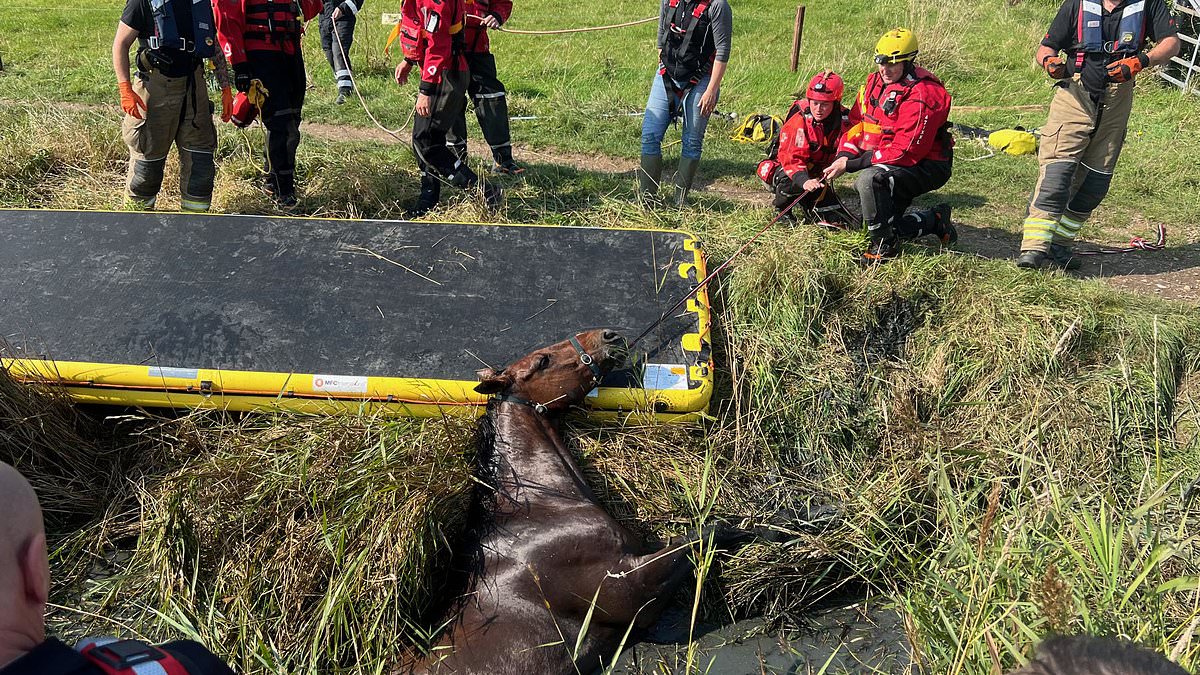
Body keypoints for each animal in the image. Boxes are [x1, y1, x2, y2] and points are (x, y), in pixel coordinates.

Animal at [412, 329, 806, 667]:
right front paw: (783, 522)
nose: (608, 335)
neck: (537, 512)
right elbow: (710, 533)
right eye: (542, 360)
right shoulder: (629, 588)